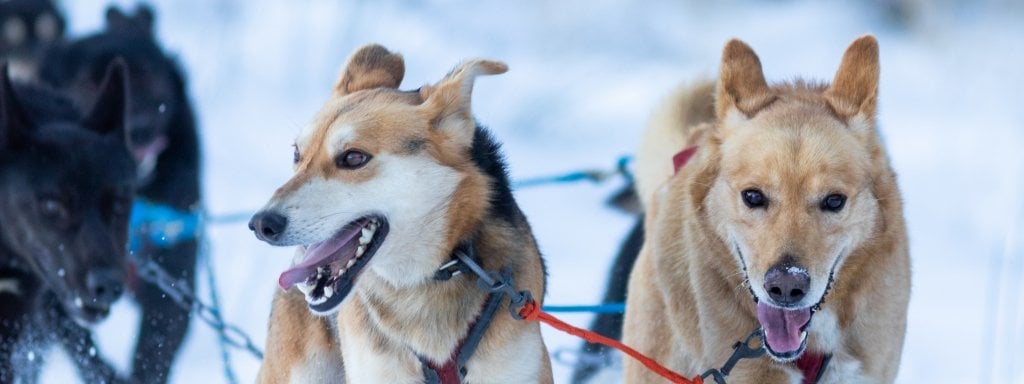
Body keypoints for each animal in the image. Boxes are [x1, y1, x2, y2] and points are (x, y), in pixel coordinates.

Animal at [39, 4, 201, 382]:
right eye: (89, 82)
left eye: (149, 76)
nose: (138, 128)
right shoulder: (56, 293)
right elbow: (87, 354)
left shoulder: (172, 284)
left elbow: (153, 352)